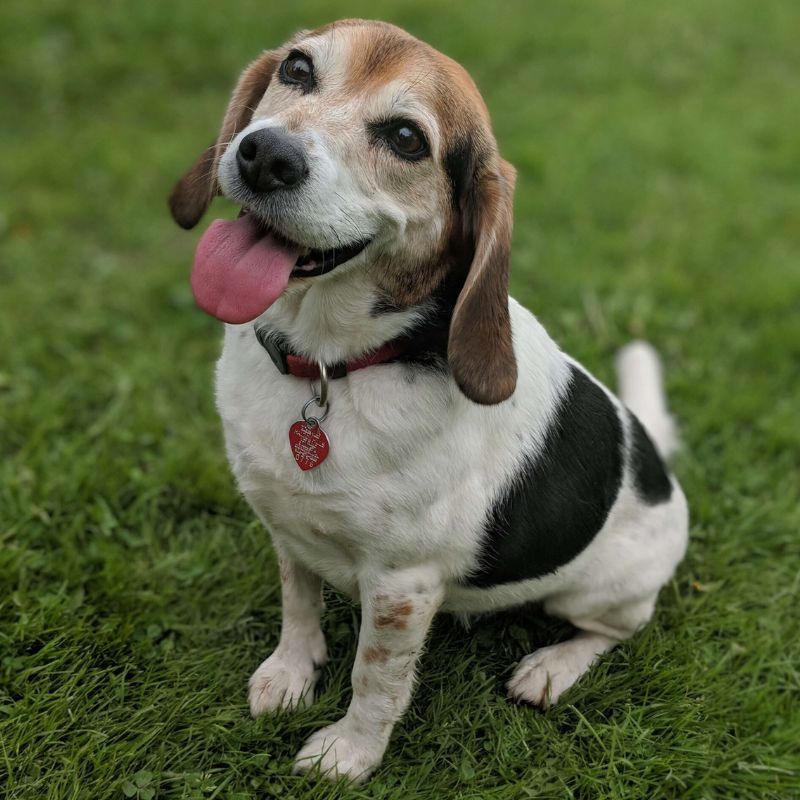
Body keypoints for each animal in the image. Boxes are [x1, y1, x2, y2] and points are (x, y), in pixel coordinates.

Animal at [167, 17, 688, 780]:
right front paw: (292, 671)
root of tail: (657, 465)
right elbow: (298, 600)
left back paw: (552, 667)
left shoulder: (401, 586)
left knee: (613, 630)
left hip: (598, 588)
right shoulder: (286, 527)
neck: (330, 367)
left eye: (407, 138)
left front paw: (349, 754)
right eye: (297, 69)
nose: (266, 156)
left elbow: (376, 679)